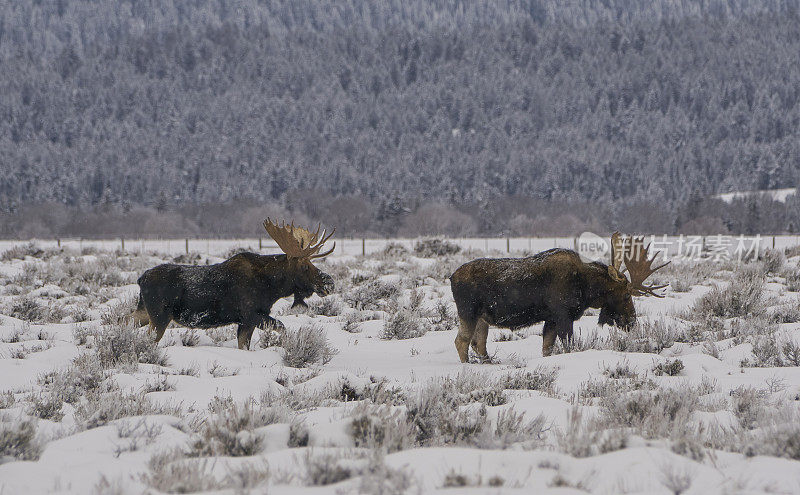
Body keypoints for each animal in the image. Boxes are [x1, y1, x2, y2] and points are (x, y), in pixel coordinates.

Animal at [134, 219, 334, 350]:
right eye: (304, 265)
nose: (329, 282)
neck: (271, 288)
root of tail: (141, 278)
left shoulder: (246, 321)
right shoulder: (250, 314)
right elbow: (281, 327)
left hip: (144, 311)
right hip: (159, 316)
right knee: (148, 339)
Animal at [450, 234, 668, 362]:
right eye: (626, 294)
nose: (631, 321)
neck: (587, 289)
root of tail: (451, 277)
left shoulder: (551, 319)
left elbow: (547, 348)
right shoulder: (563, 316)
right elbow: (569, 346)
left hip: (482, 317)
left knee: (478, 343)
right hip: (468, 312)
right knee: (461, 341)